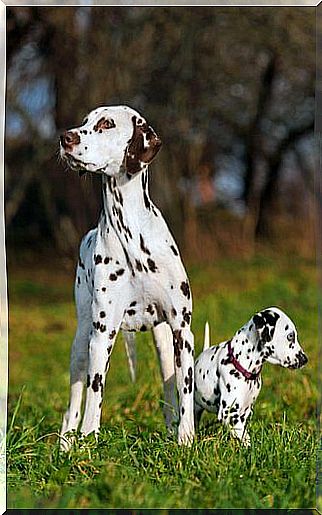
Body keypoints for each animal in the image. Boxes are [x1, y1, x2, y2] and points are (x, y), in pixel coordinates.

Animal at [59, 105, 195, 448]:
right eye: (84, 122)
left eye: (106, 124)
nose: (65, 137)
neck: (133, 235)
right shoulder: (102, 335)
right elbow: (94, 395)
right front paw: (88, 441)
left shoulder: (182, 330)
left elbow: (184, 391)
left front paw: (187, 438)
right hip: (81, 342)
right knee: (74, 402)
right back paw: (67, 443)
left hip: (164, 344)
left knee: (169, 391)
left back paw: (172, 428)